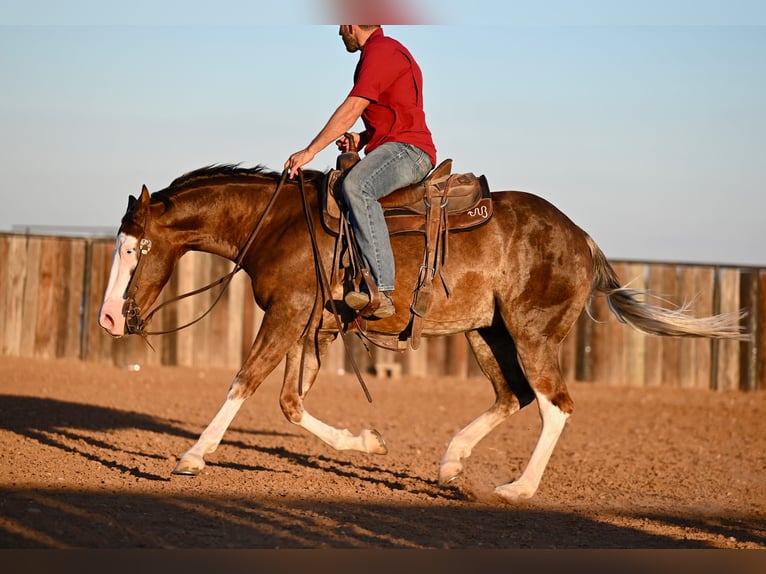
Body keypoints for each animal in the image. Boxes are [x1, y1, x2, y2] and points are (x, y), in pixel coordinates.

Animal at [99, 164, 748, 502]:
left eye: (139, 247)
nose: (108, 318)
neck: (279, 224)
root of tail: (582, 237)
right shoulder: (311, 326)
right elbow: (289, 403)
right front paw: (367, 442)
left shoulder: (286, 315)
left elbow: (244, 382)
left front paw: (191, 457)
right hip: (486, 333)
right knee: (512, 395)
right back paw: (452, 464)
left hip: (532, 334)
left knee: (554, 404)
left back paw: (517, 488)